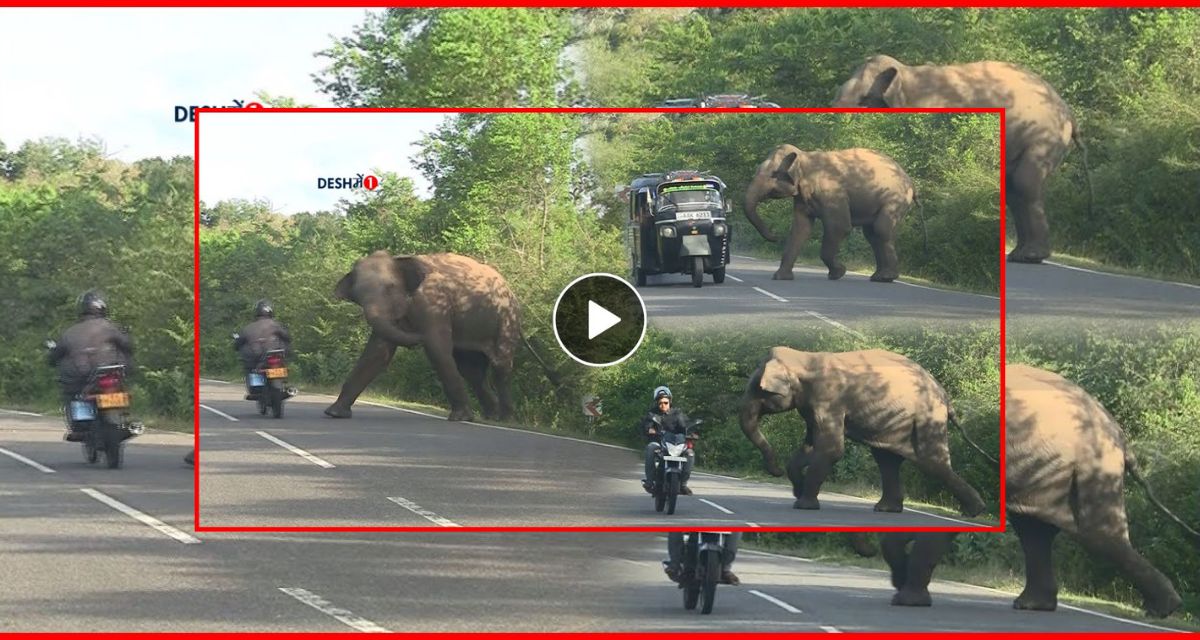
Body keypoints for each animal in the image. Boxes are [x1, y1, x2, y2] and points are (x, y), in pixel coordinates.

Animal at [324, 250, 520, 425]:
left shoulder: (434, 304)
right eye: (357, 296)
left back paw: (505, 419)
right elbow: (377, 353)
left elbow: (437, 349)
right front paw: (334, 413)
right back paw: (490, 417)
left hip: (506, 318)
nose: (416, 338)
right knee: (472, 372)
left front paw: (460, 418)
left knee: (500, 366)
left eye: (390, 287)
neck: (399, 260)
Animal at [734, 345, 988, 516]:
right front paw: (799, 491)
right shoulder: (811, 406)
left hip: (927, 415)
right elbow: (811, 445)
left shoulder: (829, 400)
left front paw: (803, 505)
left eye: (757, 390)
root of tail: (944, 394)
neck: (802, 357)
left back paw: (974, 511)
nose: (775, 472)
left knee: (931, 463)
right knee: (887, 460)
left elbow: (831, 449)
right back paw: (887, 509)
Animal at [739, 148, 916, 283]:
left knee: (881, 230)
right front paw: (781, 278)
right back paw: (878, 277)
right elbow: (800, 230)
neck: (805, 157)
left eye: (772, 174)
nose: (775, 236)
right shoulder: (802, 198)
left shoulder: (832, 193)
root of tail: (910, 181)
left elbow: (840, 227)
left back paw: (886, 278)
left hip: (895, 199)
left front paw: (838, 273)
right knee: (872, 234)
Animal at [830, 53, 1094, 262]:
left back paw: (1030, 257)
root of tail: (1069, 113)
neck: (907, 73)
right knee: (1015, 189)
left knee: (1024, 183)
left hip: (1042, 137)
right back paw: (1019, 256)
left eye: (863, 99)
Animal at [883, 365, 1200, 619]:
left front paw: (905, 598)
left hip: (1085, 460)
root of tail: (1120, 436)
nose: (896, 579)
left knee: (1092, 534)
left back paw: (1163, 609)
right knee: (1036, 529)